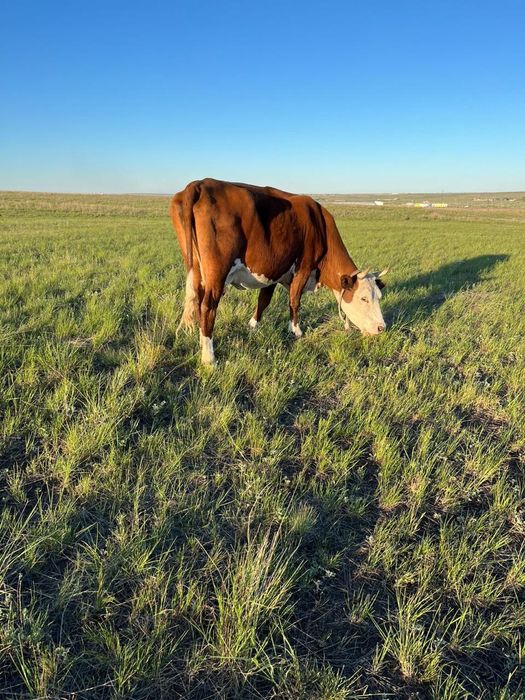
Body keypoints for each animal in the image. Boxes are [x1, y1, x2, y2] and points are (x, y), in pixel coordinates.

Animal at [170, 178, 388, 365]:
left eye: (379, 297)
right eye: (363, 298)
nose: (382, 328)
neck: (320, 227)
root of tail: (200, 183)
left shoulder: (273, 272)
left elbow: (263, 301)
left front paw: (253, 326)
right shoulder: (303, 268)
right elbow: (294, 300)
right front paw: (296, 330)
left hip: (195, 269)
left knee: (197, 301)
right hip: (217, 273)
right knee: (208, 307)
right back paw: (209, 358)